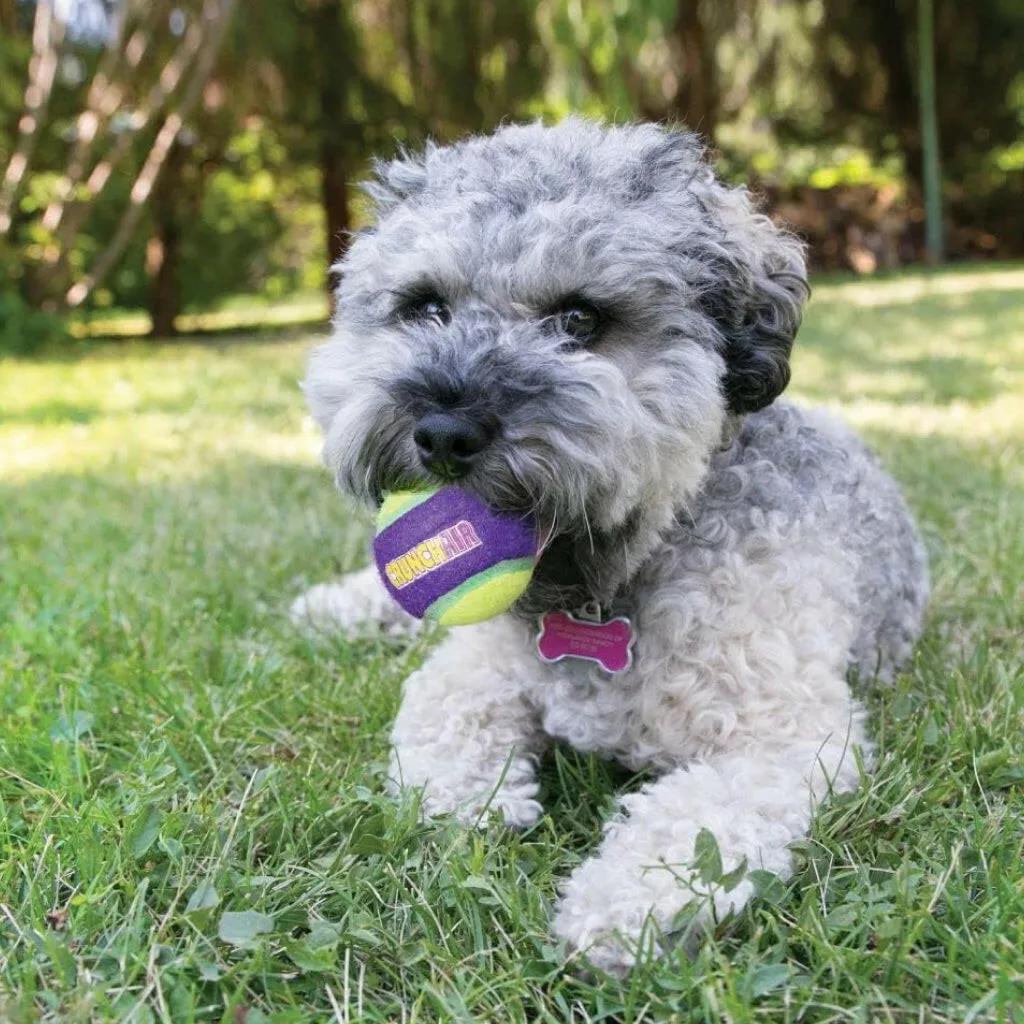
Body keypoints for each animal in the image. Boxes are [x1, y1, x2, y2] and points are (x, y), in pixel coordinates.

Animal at [292, 119, 933, 974]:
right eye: (424, 306)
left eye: (580, 320)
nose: (444, 431)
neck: (608, 585)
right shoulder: (472, 669)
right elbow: (440, 724)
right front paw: (473, 804)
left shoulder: (783, 736)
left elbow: (694, 823)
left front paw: (622, 903)